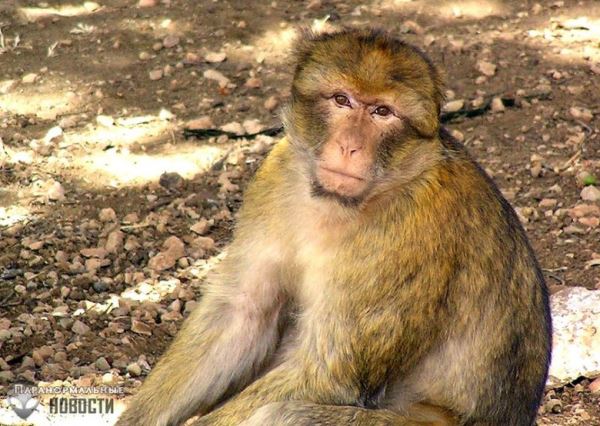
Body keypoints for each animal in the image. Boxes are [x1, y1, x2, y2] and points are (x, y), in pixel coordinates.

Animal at [115, 28, 552, 424]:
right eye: (342, 100)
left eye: (382, 112)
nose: (349, 146)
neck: (343, 205)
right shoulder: (277, 174)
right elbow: (242, 313)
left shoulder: (411, 233)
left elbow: (326, 373)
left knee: (284, 414)